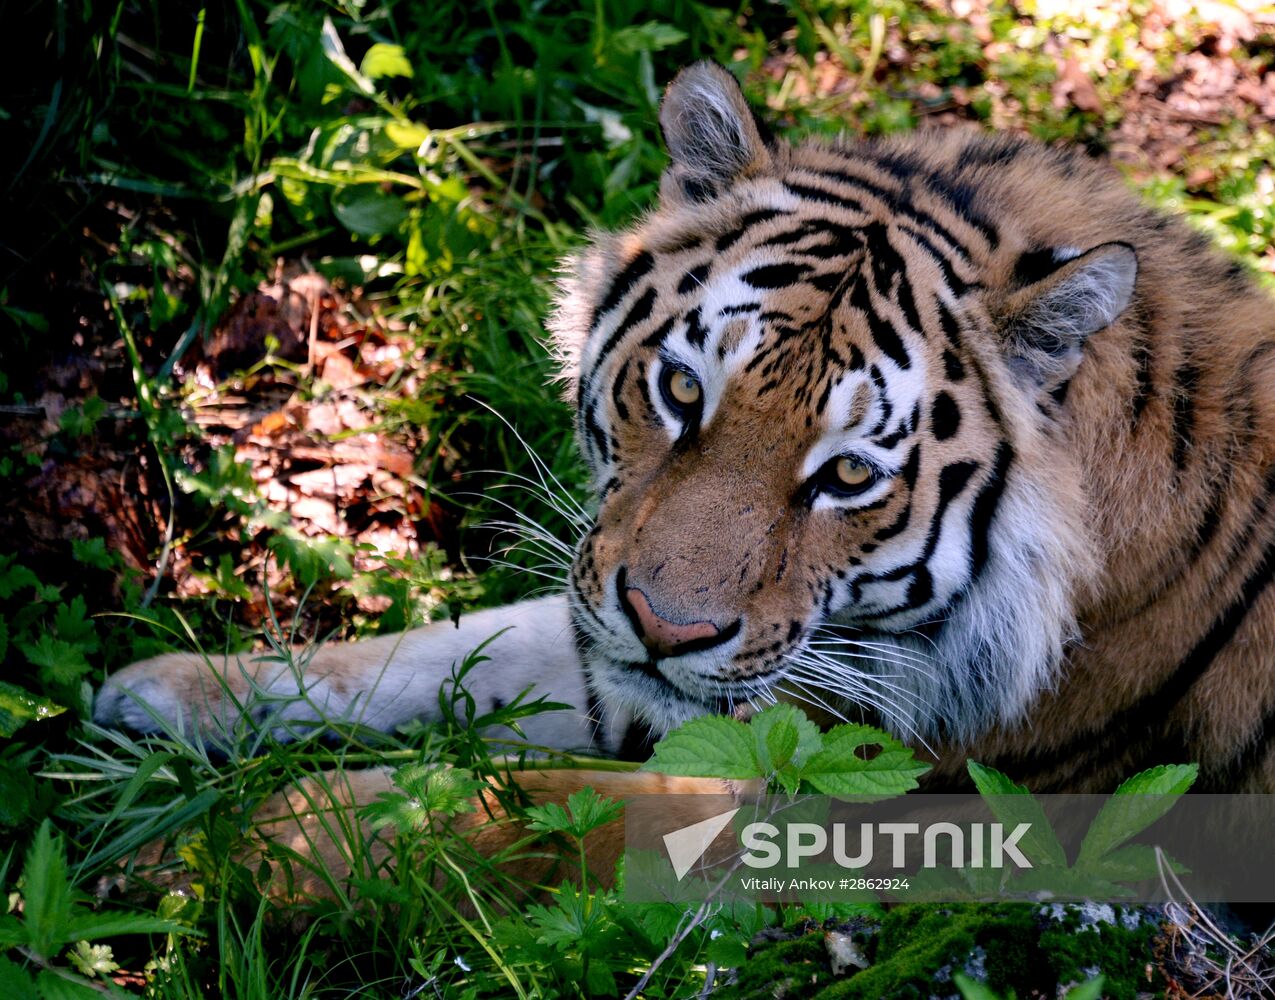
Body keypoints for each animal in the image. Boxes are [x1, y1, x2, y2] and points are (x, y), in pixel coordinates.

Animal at [95, 60, 1275, 809]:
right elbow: (432, 652)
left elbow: (460, 813)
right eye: (678, 388)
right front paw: (160, 695)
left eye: (849, 475)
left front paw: (195, 852)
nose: (667, 631)